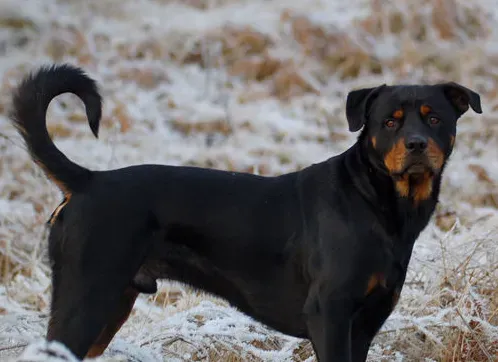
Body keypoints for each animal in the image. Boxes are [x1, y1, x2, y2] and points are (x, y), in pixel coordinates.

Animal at [7, 63, 480, 360]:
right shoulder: (329, 312)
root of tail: (88, 180)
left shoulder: (366, 323)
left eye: (434, 119)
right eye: (390, 121)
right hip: (86, 297)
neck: (379, 204)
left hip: (109, 305)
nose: (416, 144)